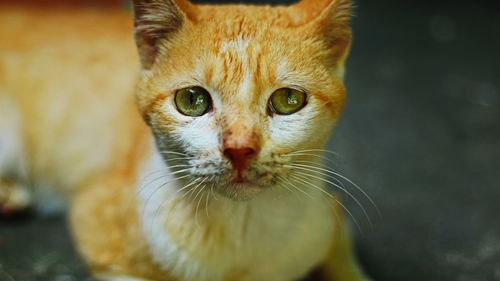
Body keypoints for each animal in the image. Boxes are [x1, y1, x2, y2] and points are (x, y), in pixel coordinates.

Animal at [0, 0, 368, 278]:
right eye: (192, 100)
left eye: (288, 100)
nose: (239, 149)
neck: (240, 228)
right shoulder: (98, 228)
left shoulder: (329, 212)